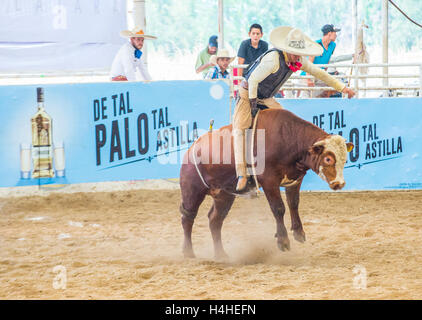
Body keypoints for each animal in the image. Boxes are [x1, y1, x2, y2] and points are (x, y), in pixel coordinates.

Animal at [180, 109, 354, 258]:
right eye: (328, 158)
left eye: (344, 158)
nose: (339, 183)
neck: (288, 138)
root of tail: (191, 149)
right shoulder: (269, 181)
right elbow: (279, 208)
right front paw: (283, 241)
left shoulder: (295, 180)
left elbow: (293, 203)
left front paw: (299, 232)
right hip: (193, 190)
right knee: (188, 217)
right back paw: (188, 252)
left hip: (224, 195)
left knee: (215, 220)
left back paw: (221, 254)